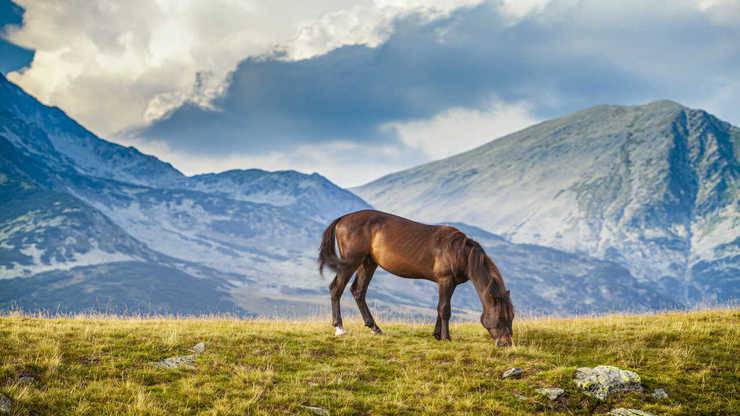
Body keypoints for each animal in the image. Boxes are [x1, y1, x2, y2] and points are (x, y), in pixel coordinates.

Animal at [318, 209, 514, 346]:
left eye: (511, 316)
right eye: (501, 317)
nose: (506, 344)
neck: (461, 252)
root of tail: (343, 219)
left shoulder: (449, 284)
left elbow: (440, 308)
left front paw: (437, 335)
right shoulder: (445, 280)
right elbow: (445, 309)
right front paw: (446, 338)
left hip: (368, 263)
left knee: (358, 291)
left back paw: (375, 328)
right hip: (350, 262)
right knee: (336, 288)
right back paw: (339, 328)